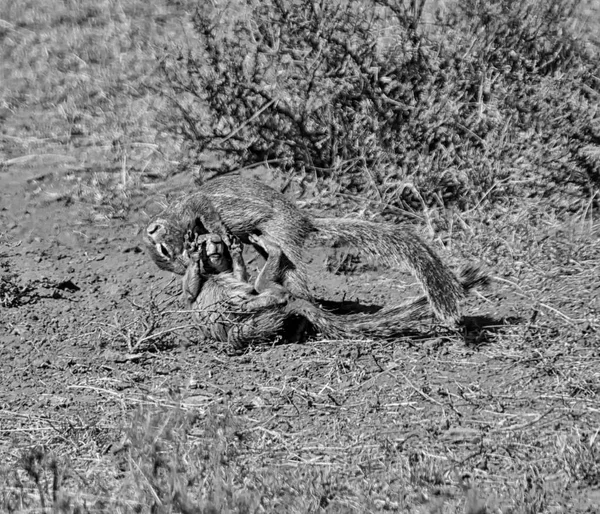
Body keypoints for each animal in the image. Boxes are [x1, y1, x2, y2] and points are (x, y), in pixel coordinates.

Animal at [144, 174, 464, 322]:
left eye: (163, 251)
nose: (181, 266)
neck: (177, 213)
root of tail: (303, 220)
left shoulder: (199, 206)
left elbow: (212, 216)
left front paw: (219, 235)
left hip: (282, 237)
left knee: (293, 277)